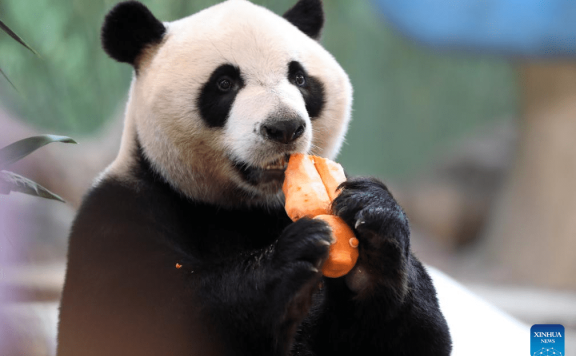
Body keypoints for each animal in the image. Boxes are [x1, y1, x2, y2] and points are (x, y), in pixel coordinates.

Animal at [59, 0, 454, 354]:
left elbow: (415, 340)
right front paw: (294, 253)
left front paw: (373, 231)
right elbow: (150, 321)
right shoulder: (120, 216)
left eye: (299, 77)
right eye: (224, 83)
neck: (242, 207)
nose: (284, 127)